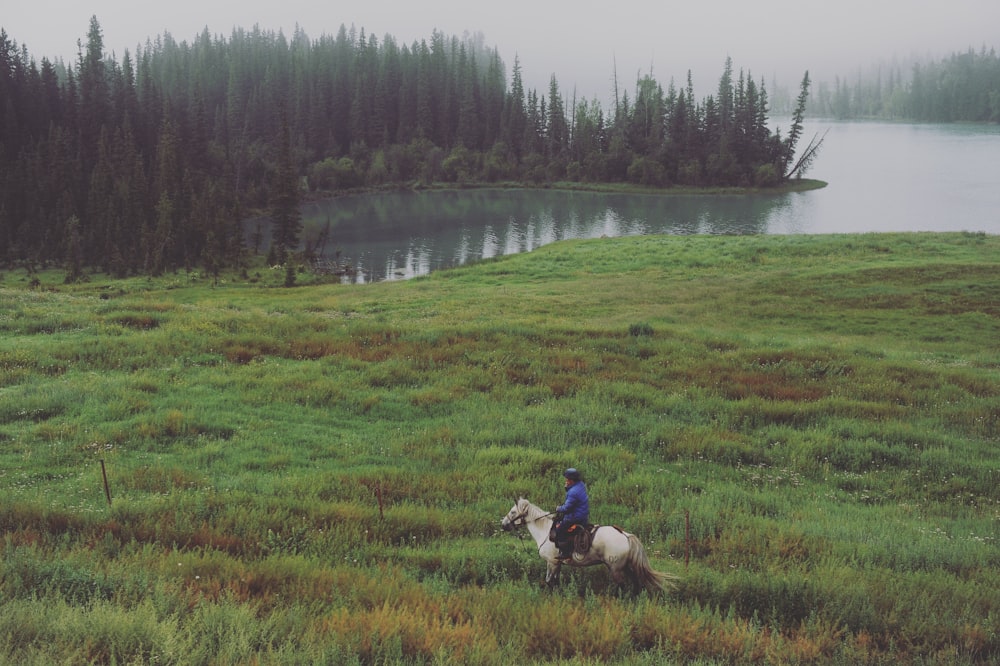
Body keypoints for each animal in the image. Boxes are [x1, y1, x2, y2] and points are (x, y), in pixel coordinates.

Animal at [500, 492, 680, 592]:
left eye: (513, 511)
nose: (503, 524)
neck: (545, 531)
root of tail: (625, 535)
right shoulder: (557, 564)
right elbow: (555, 582)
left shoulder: (551, 562)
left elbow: (549, 581)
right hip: (626, 567)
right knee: (634, 584)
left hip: (615, 568)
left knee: (622, 586)